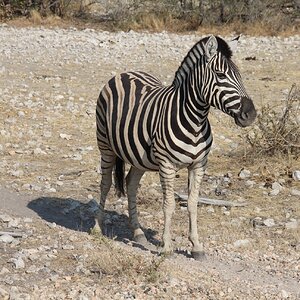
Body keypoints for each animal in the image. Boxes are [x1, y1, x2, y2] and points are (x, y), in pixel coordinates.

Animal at [95, 35, 256, 258]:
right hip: (105, 146)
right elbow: (169, 205)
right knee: (105, 184)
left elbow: (193, 203)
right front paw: (167, 247)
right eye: (220, 74)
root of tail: (124, 73)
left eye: (240, 75)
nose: (251, 114)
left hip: (139, 157)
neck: (196, 121)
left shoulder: (199, 165)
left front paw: (196, 246)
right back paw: (96, 228)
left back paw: (138, 233)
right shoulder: (166, 165)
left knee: (131, 184)